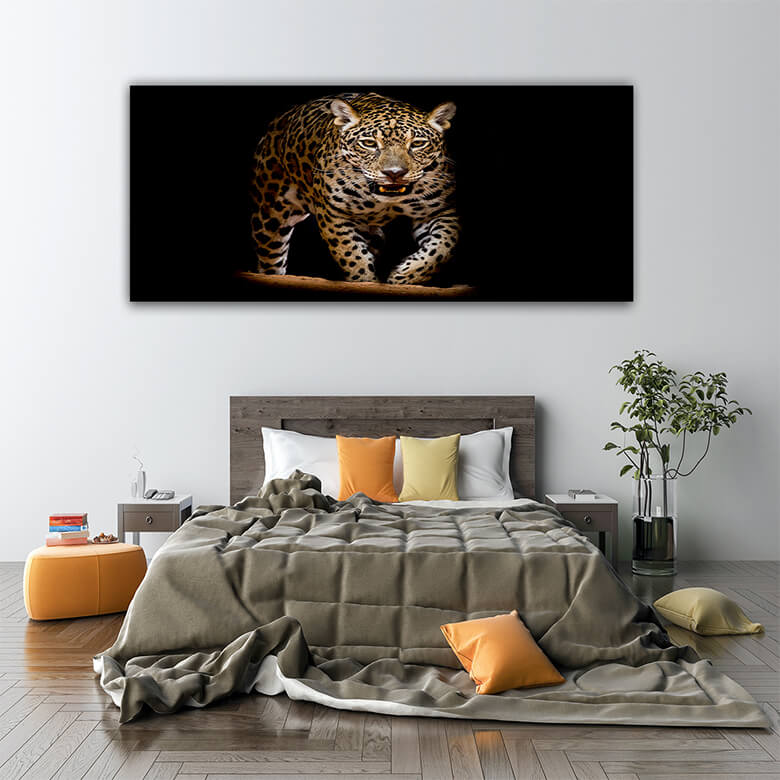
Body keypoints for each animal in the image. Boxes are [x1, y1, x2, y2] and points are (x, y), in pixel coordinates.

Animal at [250, 92, 459, 285]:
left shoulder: (439, 210)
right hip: (270, 217)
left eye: (417, 144)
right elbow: (351, 254)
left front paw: (403, 276)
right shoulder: (334, 213)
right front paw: (365, 280)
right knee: (271, 260)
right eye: (369, 143)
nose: (394, 173)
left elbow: (442, 247)